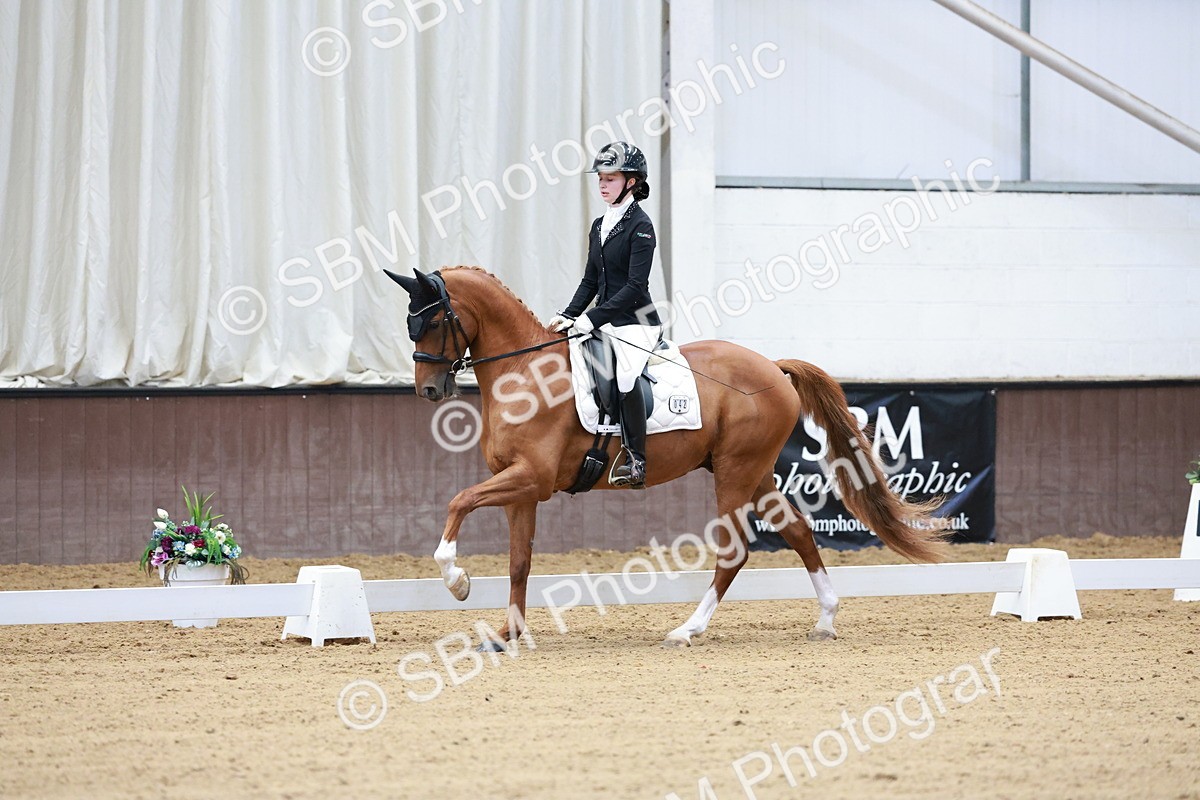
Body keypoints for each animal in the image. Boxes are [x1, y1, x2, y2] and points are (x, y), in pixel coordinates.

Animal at [384, 266, 946, 648]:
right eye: (410, 323)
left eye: (432, 321)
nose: (429, 390)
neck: (523, 373)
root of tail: (773, 367)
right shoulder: (519, 487)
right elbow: (519, 560)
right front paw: (508, 633)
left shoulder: (532, 479)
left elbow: (458, 501)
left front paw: (457, 582)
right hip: (754, 472)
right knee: (798, 530)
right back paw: (826, 618)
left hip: (736, 473)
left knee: (734, 550)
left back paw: (687, 629)